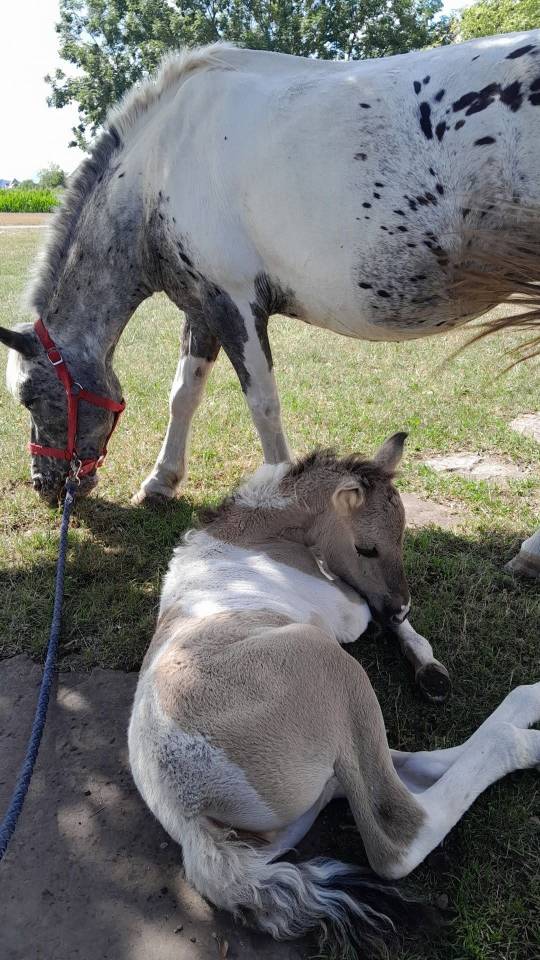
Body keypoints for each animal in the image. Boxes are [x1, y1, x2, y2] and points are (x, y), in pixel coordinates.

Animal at [1, 31, 539, 574]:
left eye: (30, 397)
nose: (46, 487)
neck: (162, 165)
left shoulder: (235, 305)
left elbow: (263, 404)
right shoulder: (201, 308)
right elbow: (183, 394)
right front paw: (160, 482)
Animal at [128, 442, 540, 954]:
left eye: (403, 535)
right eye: (367, 546)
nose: (401, 605)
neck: (250, 535)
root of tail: (187, 816)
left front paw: (428, 668)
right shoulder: (343, 612)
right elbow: (365, 611)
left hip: (321, 779)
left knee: (406, 768)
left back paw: (525, 710)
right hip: (331, 667)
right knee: (398, 836)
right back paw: (522, 739)